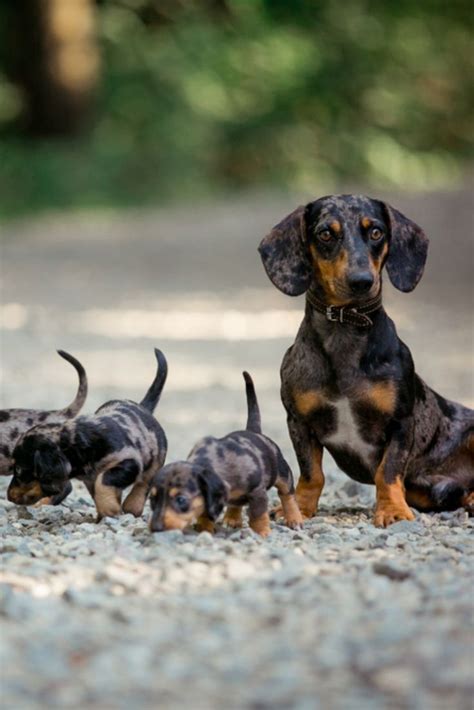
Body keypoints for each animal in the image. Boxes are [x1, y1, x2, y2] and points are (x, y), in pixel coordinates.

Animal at [149, 376, 304, 536]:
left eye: (181, 499)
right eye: (152, 499)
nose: (155, 528)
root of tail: (253, 431)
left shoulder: (258, 493)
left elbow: (258, 515)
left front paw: (262, 532)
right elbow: (205, 513)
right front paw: (204, 528)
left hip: (283, 474)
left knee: (287, 495)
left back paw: (294, 519)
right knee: (236, 503)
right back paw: (232, 519)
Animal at [260, 195, 474, 528]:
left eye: (376, 232)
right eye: (325, 234)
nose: (361, 281)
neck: (345, 329)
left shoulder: (401, 422)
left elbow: (387, 471)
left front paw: (393, 511)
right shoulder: (299, 421)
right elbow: (311, 473)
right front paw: (300, 509)